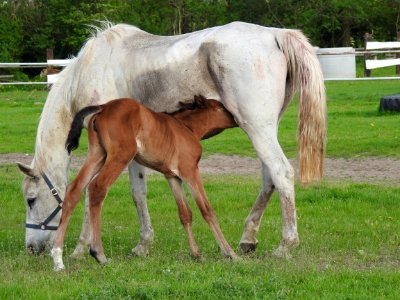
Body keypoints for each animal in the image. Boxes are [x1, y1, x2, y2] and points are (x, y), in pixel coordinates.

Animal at [50, 95, 238, 270]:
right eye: (221, 107)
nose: (235, 118)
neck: (187, 128)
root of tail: (103, 107)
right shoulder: (190, 171)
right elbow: (207, 210)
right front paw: (230, 253)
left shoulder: (172, 176)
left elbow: (185, 213)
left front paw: (196, 254)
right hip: (122, 155)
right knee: (97, 187)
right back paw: (99, 254)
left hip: (98, 154)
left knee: (75, 189)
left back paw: (58, 258)